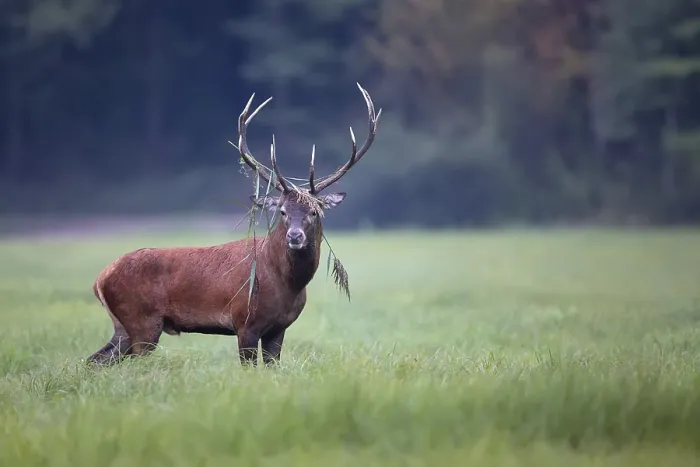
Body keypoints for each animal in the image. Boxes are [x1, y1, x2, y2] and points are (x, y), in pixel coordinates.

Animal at [86, 83, 382, 367]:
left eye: (314, 211)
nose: (295, 236)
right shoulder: (244, 322)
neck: (286, 283)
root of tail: (100, 279)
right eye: (283, 211)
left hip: (123, 327)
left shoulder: (278, 328)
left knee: (94, 360)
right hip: (142, 320)